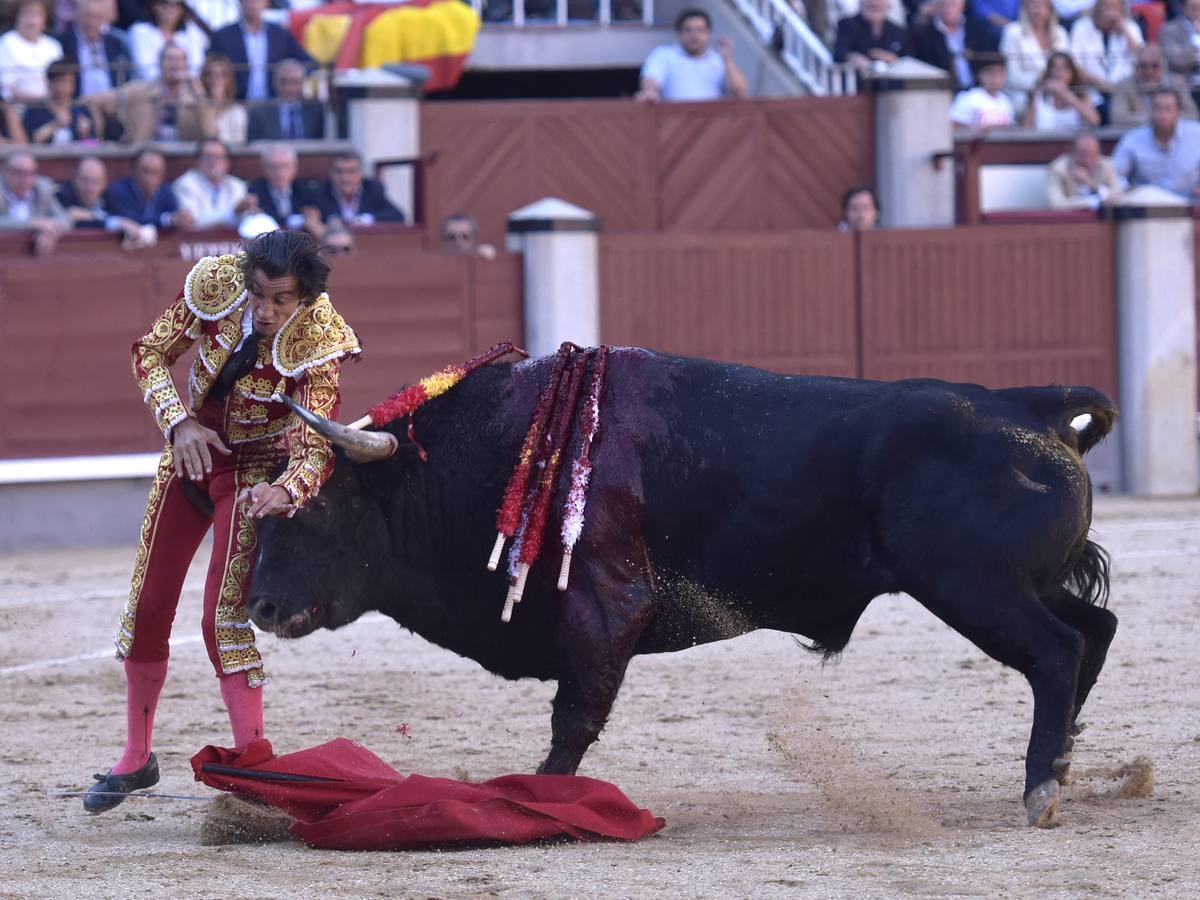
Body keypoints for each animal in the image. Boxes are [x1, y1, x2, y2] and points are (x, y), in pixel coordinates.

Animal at [248, 348, 1118, 830]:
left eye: (313, 507)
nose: (258, 606)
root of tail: (1027, 406)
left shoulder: (605, 609)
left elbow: (574, 719)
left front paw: (536, 800)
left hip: (972, 588)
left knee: (1056, 650)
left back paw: (1042, 785)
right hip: (1011, 586)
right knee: (1093, 633)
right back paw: (1060, 766)